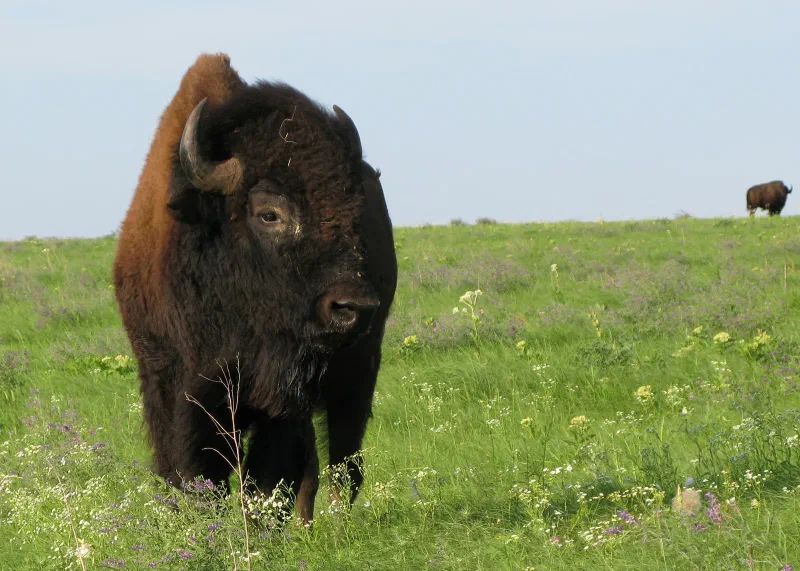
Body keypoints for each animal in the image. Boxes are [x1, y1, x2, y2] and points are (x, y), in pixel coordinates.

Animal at [113, 53, 397, 522]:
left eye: (353, 211)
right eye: (269, 213)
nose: (354, 307)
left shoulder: (279, 397)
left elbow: (268, 477)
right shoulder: (171, 383)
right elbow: (191, 470)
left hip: (357, 370)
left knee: (343, 461)